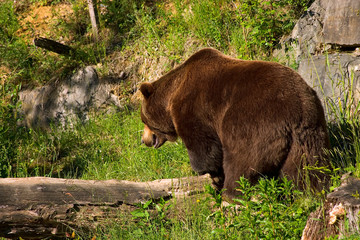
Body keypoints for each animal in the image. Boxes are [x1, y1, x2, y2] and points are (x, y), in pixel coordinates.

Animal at [139, 47, 330, 198]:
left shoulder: (193, 108)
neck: (172, 96)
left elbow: (203, 146)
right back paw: (311, 195)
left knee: (240, 161)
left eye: (143, 119)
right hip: (307, 138)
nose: (144, 139)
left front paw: (207, 174)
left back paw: (230, 193)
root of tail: (298, 110)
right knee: (307, 172)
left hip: (251, 123)